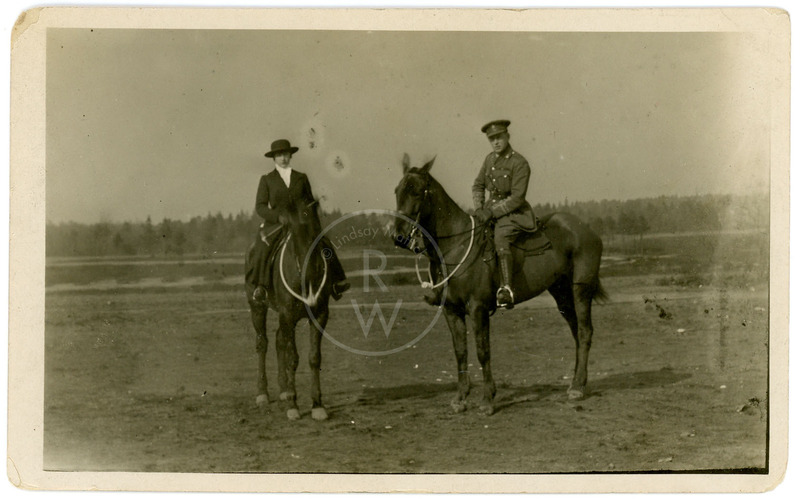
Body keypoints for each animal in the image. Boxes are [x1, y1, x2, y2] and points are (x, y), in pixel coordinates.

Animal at [244, 197, 332, 422]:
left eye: (317, 225)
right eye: (296, 231)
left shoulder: (319, 315)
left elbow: (314, 357)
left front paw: (317, 405)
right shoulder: (287, 315)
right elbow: (293, 358)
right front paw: (293, 405)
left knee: (278, 341)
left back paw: (283, 390)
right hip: (258, 307)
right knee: (263, 344)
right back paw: (263, 394)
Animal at [392, 156, 608, 416]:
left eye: (415, 191)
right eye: (397, 190)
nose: (398, 236)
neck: (455, 246)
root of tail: (586, 229)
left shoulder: (478, 309)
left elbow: (482, 351)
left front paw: (487, 399)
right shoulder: (451, 311)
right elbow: (460, 351)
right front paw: (460, 398)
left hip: (580, 289)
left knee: (585, 332)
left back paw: (577, 388)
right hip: (561, 293)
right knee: (576, 332)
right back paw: (577, 383)